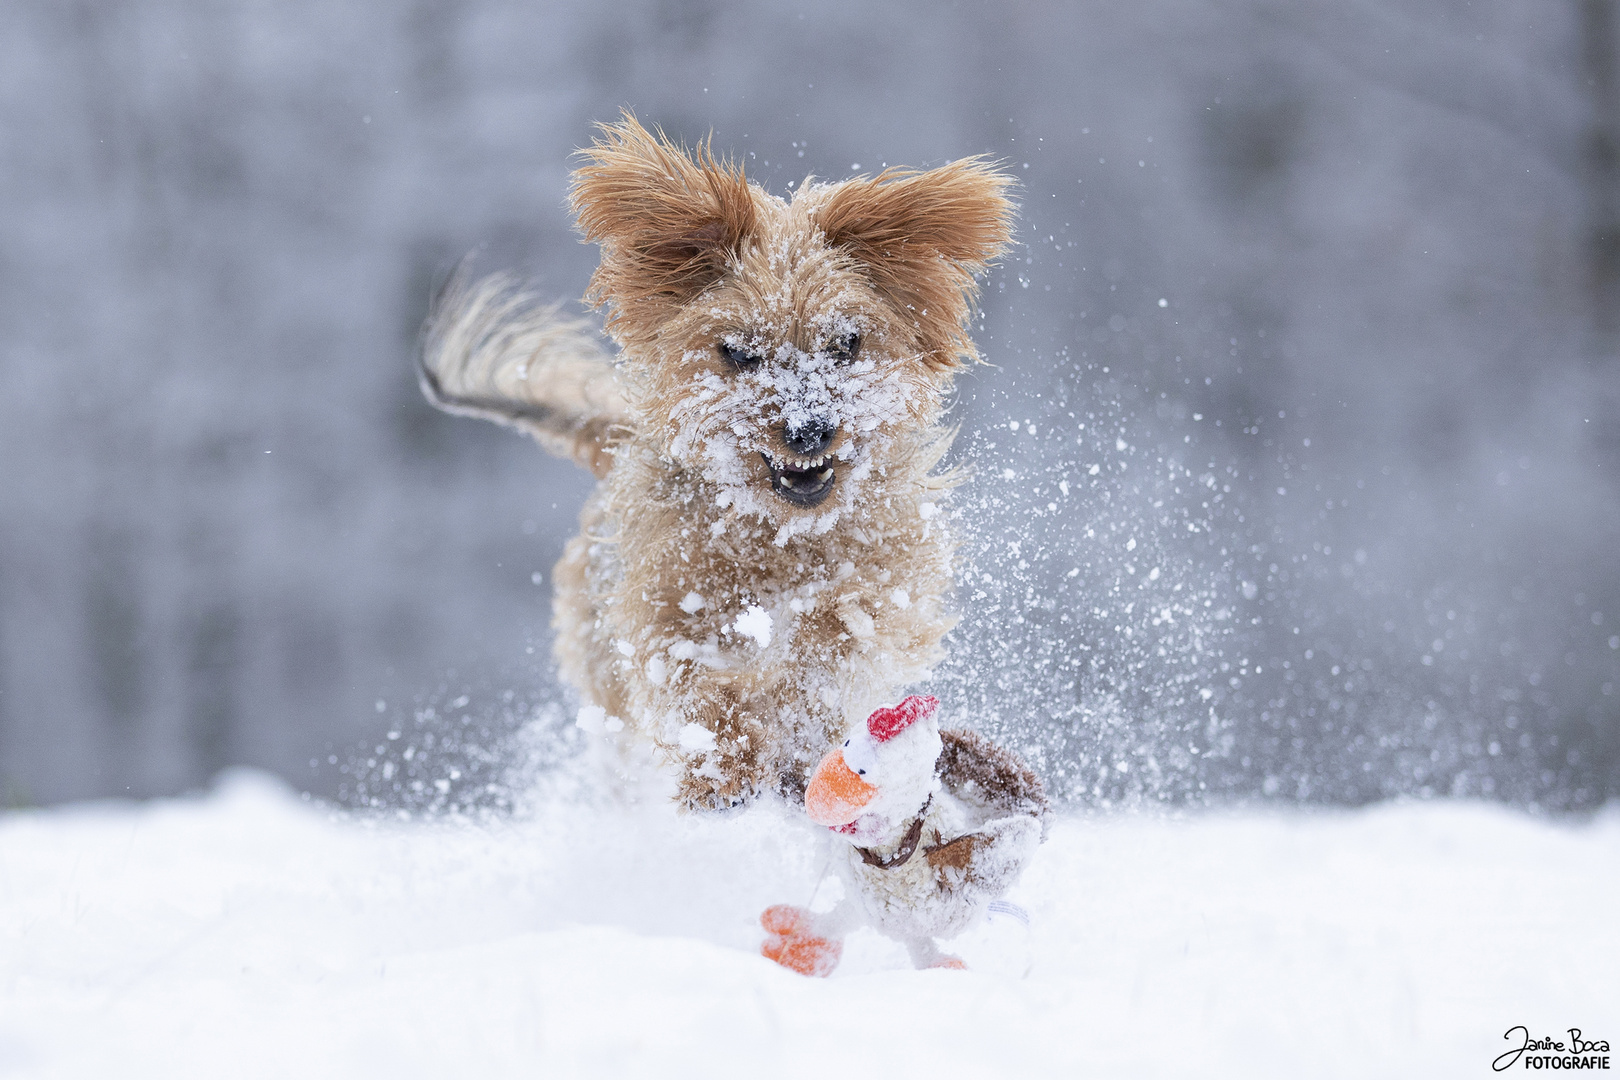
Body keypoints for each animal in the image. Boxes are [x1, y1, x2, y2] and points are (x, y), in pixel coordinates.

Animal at [417, 118, 1010, 809]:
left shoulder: (876, 590)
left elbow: (827, 645)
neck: (778, 536)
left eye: (846, 343)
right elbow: (698, 688)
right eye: (738, 352)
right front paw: (725, 774)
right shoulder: (667, 607)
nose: (809, 429)